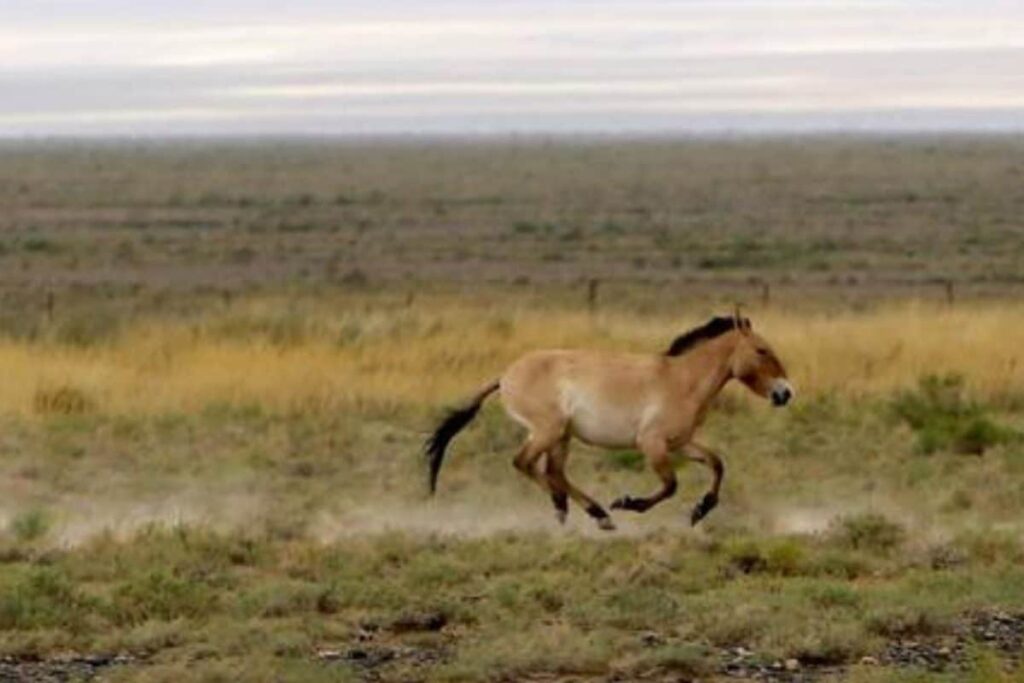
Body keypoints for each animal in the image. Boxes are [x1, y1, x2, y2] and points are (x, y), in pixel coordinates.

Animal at [424, 312, 792, 530]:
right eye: (761, 350)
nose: (785, 393)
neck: (681, 380)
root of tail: (504, 376)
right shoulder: (652, 444)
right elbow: (670, 485)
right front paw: (628, 503)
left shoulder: (680, 443)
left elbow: (717, 463)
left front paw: (700, 510)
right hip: (548, 430)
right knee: (525, 463)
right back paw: (581, 509)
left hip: (562, 436)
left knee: (552, 471)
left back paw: (586, 512)